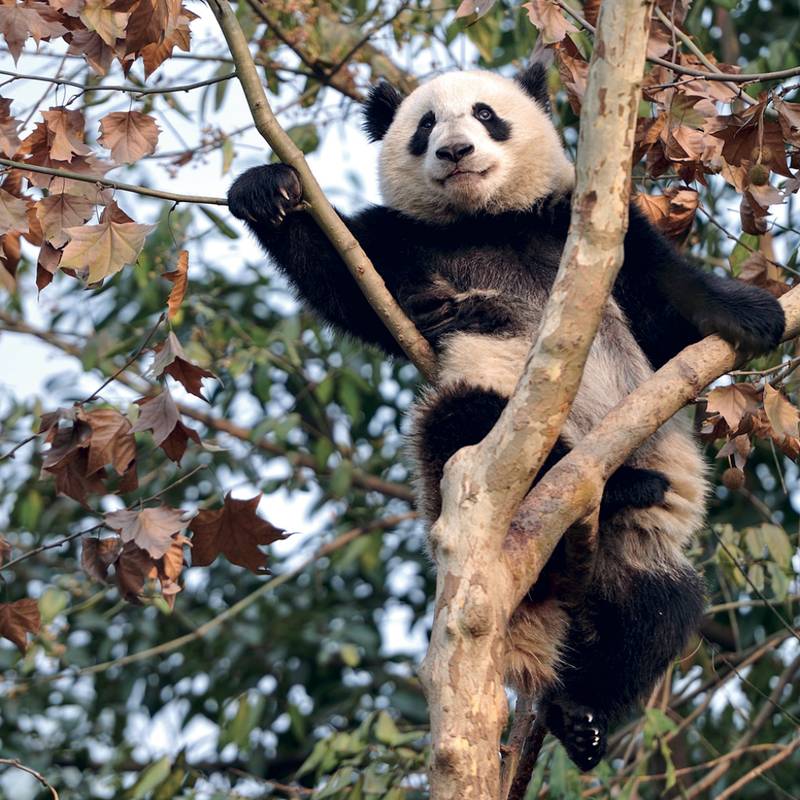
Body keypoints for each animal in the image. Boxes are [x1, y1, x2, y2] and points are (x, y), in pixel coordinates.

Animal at [227, 65, 785, 771]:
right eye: (425, 126)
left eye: (485, 114)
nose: (455, 151)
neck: (485, 219)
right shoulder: (405, 247)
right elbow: (345, 278)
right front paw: (266, 190)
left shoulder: (586, 221)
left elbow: (664, 297)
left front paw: (754, 314)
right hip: (473, 458)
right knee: (461, 420)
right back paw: (610, 485)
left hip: (634, 552)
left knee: (657, 615)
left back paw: (582, 716)